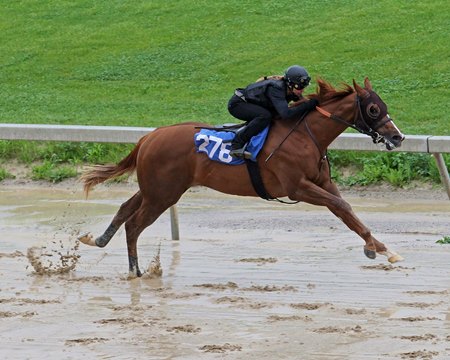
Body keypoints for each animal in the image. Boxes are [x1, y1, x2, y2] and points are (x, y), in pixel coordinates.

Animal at [79, 77, 406, 278]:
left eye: (385, 106)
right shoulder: (298, 188)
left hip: (157, 189)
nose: (398, 137)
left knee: (125, 209)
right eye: (373, 108)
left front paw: (381, 248)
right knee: (134, 225)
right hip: (163, 194)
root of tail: (149, 137)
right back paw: (135, 271)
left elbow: (346, 212)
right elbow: (342, 207)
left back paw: (98, 239)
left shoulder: (323, 183)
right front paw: (377, 248)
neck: (305, 134)